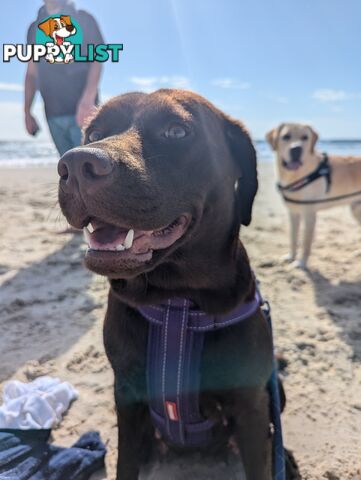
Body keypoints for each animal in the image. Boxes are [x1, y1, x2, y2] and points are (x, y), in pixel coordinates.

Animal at [264, 122, 360, 268]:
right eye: (286, 136)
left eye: (305, 137)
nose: (296, 149)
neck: (298, 175)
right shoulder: (293, 213)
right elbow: (293, 237)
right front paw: (291, 257)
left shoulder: (309, 214)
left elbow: (305, 242)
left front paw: (301, 263)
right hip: (356, 209)